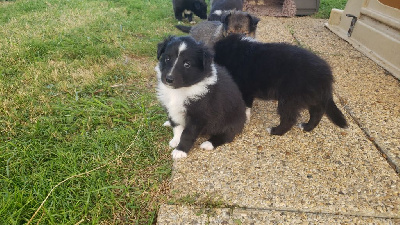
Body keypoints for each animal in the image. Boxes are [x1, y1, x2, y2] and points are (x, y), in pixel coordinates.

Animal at [214, 34, 348, 134]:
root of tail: (326, 75)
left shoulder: (245, 90)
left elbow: (246, 106)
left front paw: (245, 120)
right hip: (310, 97)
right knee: (317, 112)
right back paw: (307, 127)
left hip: (289, 99)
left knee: (289, 119)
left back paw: (274, 131)